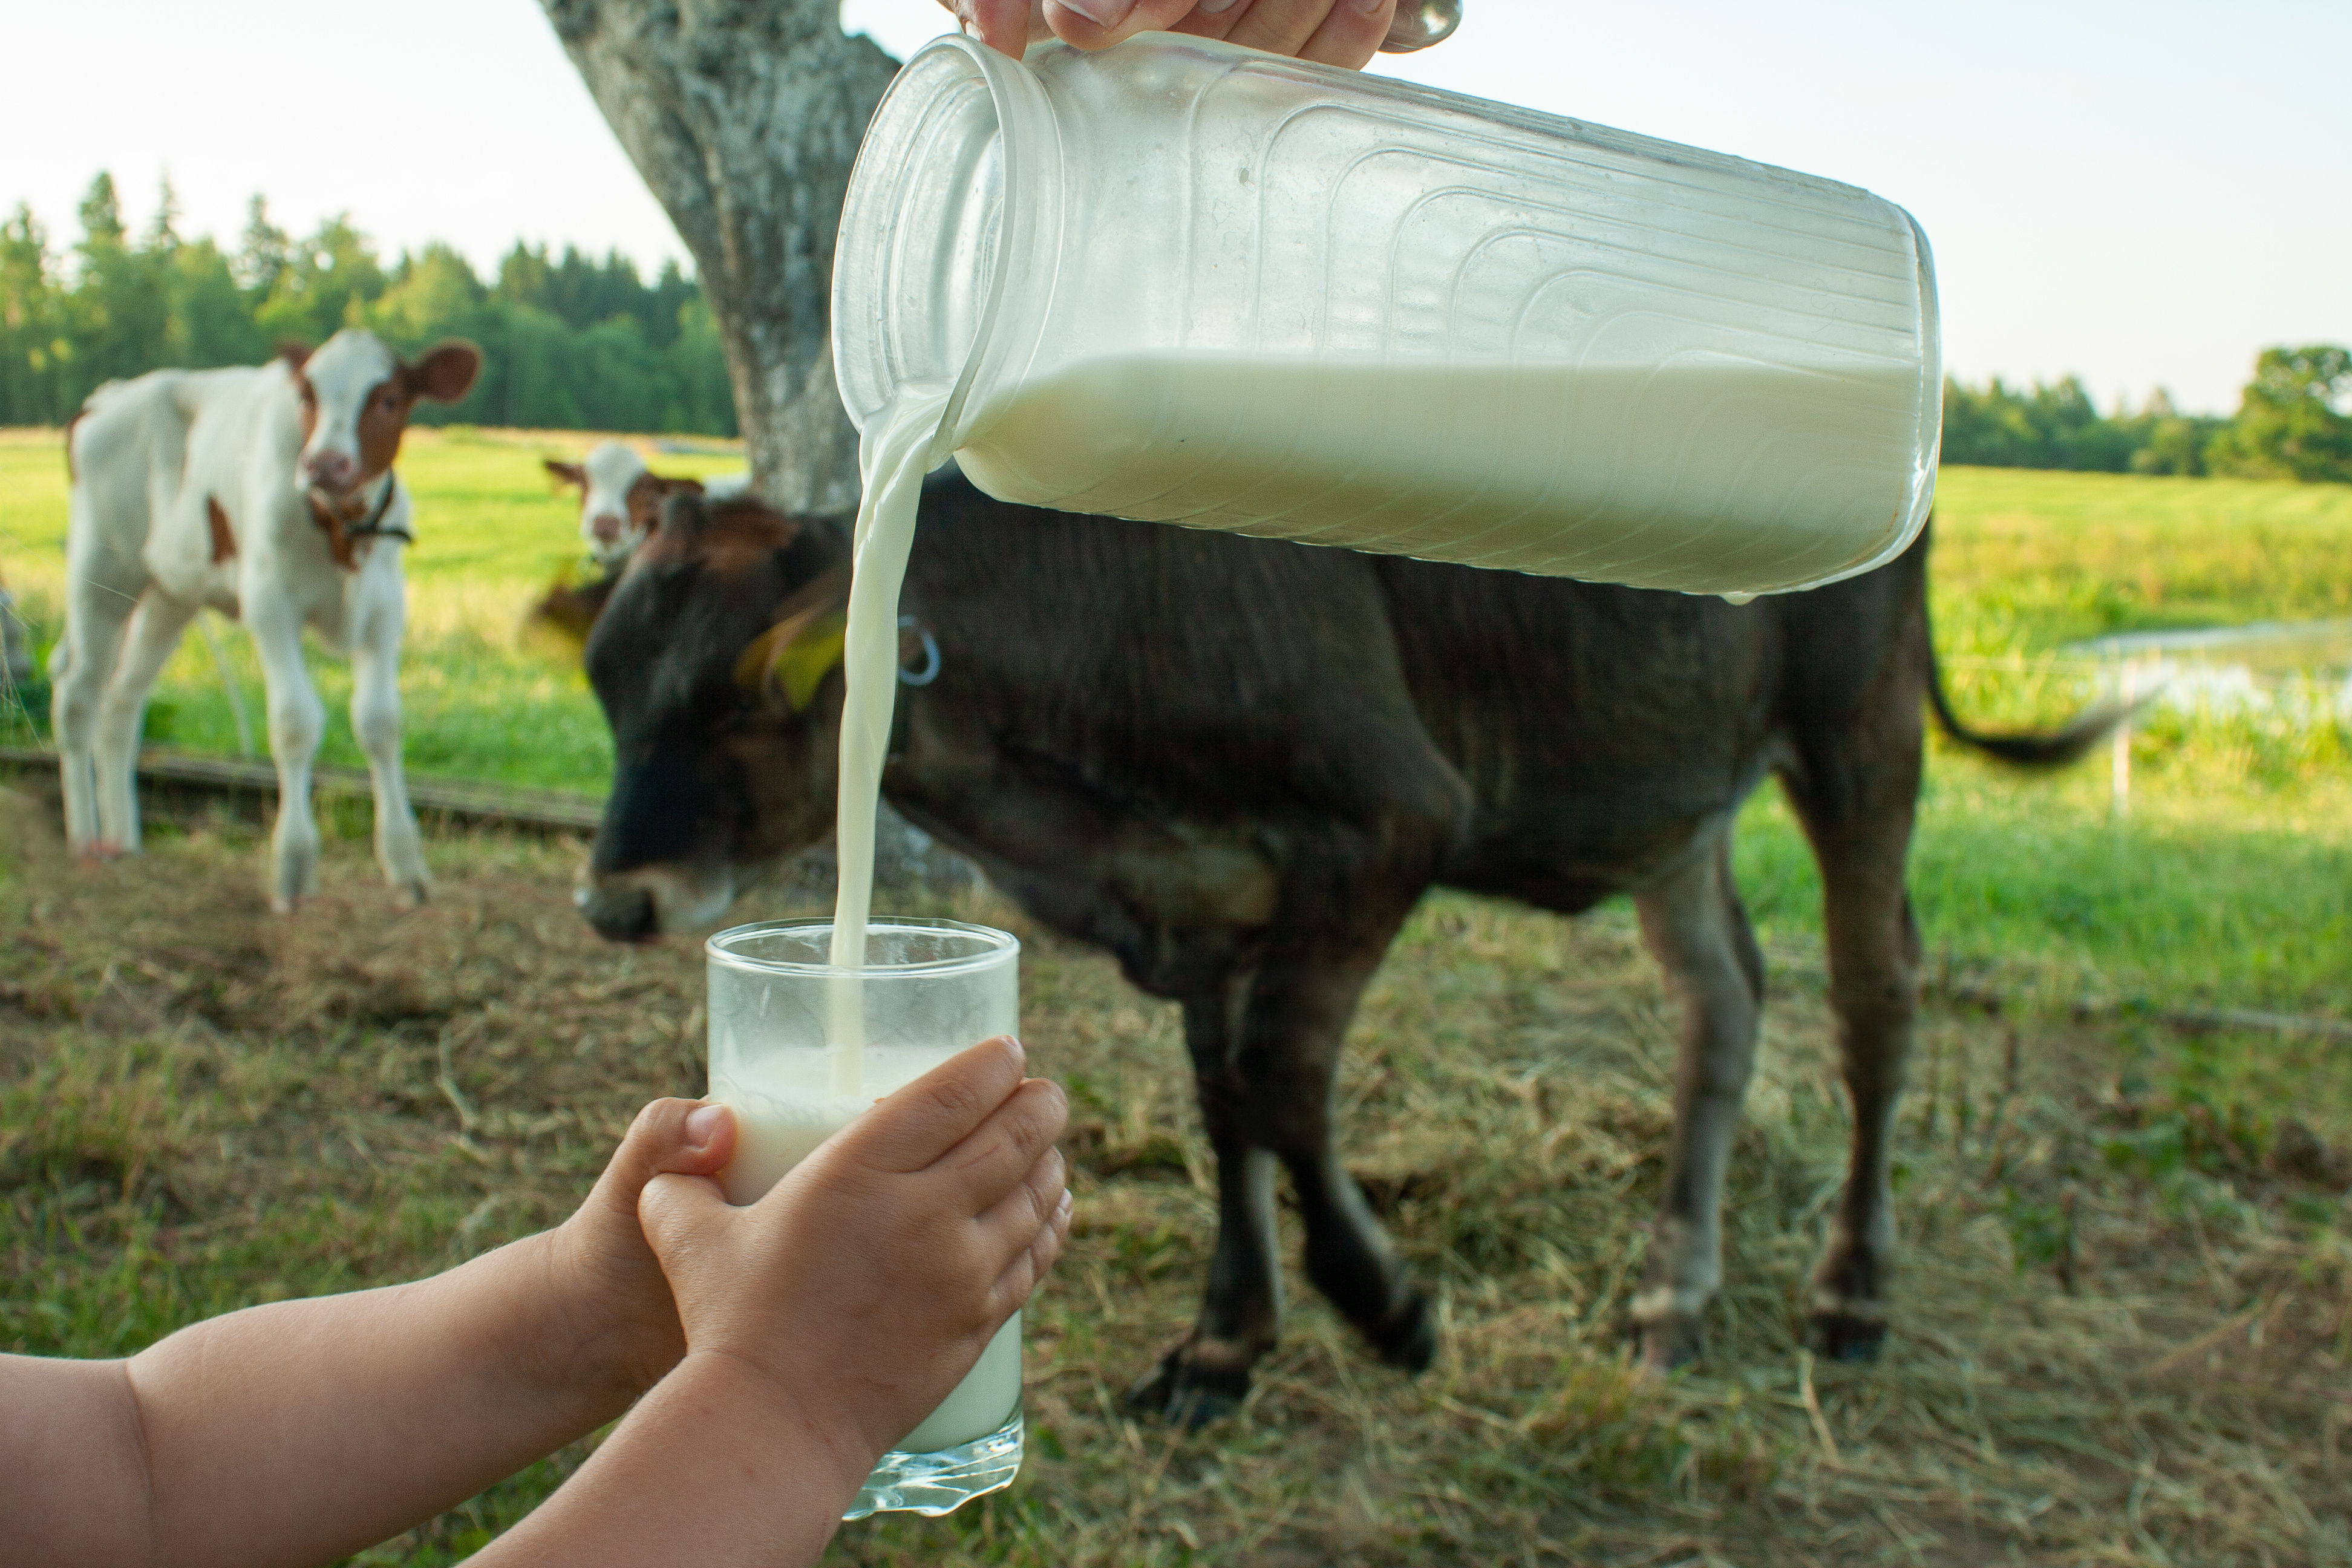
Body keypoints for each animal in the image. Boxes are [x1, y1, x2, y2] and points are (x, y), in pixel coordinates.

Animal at [55, 324, 482, 907]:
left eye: (388, 399)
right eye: (307, 396)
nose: (324, 463)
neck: (340, 529)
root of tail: (109, 396)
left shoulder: (384, 609)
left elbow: (380, 723)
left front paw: (405, 865)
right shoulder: (270, 602)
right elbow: (295, 721)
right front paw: (294, 866)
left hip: (171, 594)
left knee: (122, 700)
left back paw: (125, 841)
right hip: (102, 572)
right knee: (78, 694)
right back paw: (83, 841)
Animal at [569, 474, 2117, 1420]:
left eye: (741, 701)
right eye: (605, 682)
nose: (614, 900)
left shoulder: (1389, 823)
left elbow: (1282, 1083)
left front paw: (1384, 1306)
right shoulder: (1205, 894)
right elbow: (1226, 1109)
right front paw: (1223, 1342)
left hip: (1861, 732)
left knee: (1874, 994)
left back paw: (1852, 1290)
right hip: (1673, 790)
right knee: (1720, 999)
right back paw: (1673, 1288)